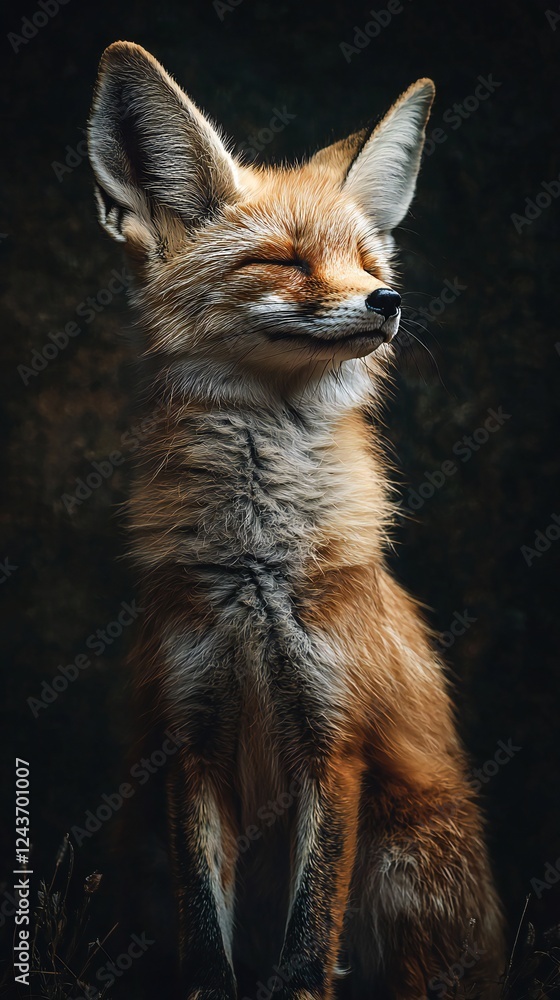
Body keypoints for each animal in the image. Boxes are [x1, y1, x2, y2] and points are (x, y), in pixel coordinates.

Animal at [88, 41, 505, 1000]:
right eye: (283, 260)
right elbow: (207, 945)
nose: (387, 303)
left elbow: (308, 946)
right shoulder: (190, 739)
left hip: (408, 862)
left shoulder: (334, 738)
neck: (255, 569)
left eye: (370, 265)